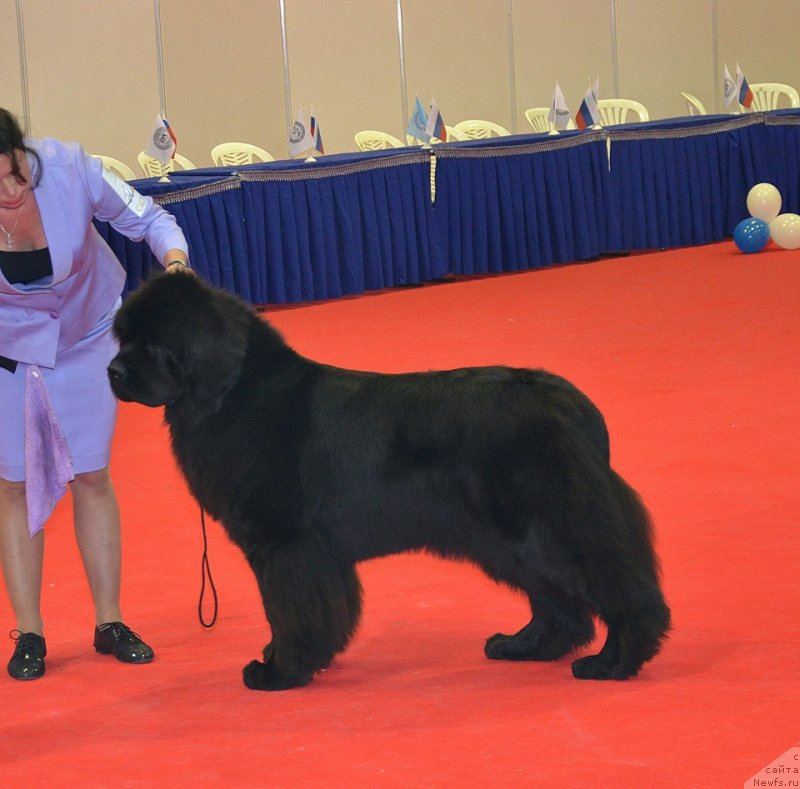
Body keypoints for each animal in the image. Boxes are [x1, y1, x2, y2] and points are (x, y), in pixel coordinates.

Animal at [106, 272, 668, 688]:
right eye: (123, 339)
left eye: (153, 344)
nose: (113, 371)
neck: (231, 394)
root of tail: (571, 403)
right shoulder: (315, 551)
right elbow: (318, 609)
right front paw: (298, 658)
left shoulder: (285, 544)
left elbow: (289, 609)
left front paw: (280, 670)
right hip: (506, 540)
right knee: (558, 602)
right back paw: (524, 646)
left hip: (545, 526)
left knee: (618, 587)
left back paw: (613, 662)